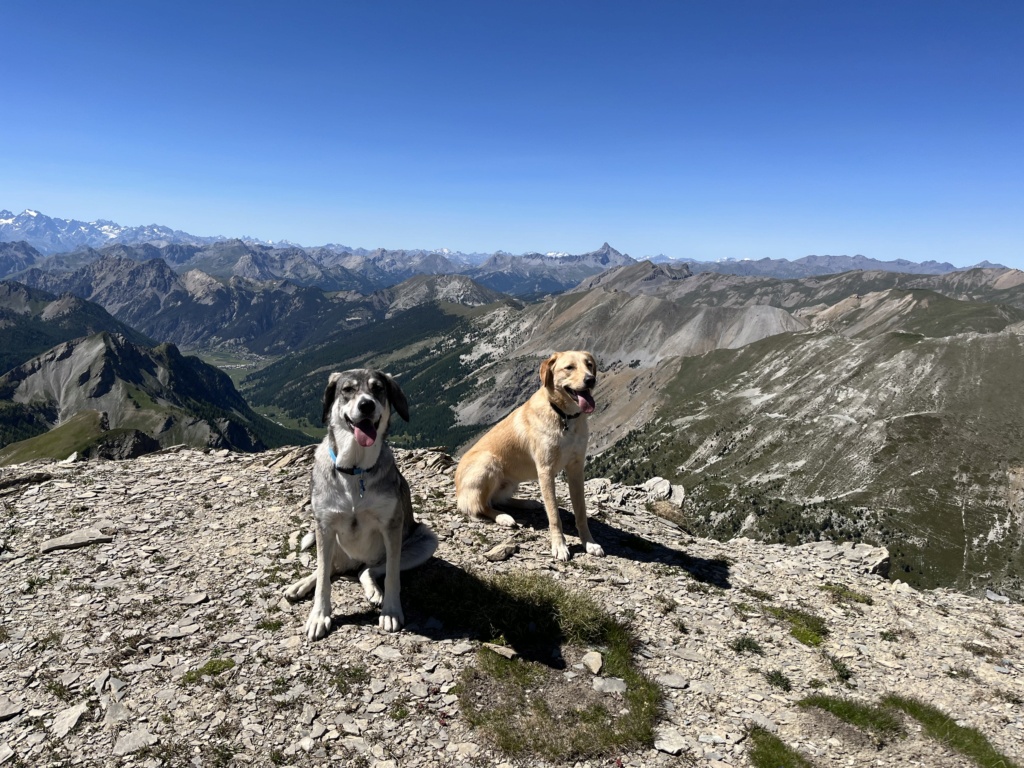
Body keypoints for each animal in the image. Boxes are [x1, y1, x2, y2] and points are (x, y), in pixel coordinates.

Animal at [284, 370, 436, 638]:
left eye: (378, 389)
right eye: (347, 390)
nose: (367, 405)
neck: (356, 471)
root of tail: (353, 562)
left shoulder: (392, 527)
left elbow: (392, 577)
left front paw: (391, 611)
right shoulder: (324, 526)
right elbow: (323, 580)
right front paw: (319, 616)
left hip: (425, 541)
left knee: (367, 570)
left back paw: (373, 590)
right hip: (332, 544)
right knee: (329, 569)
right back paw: (301, 585)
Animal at [454, 352, 602, 561]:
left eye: (589, 365)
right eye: (569, 368)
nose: (590, 380)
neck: (563, 416)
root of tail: (458, 488)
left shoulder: (576, 468)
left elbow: (581, 512)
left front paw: (589, 543)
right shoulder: (546, 471)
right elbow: (554, 515)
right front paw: (559, 546)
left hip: (509, 481)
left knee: (498, 499)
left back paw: (528, 503)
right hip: (488, 464)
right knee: (480, 506)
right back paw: (504, 517)